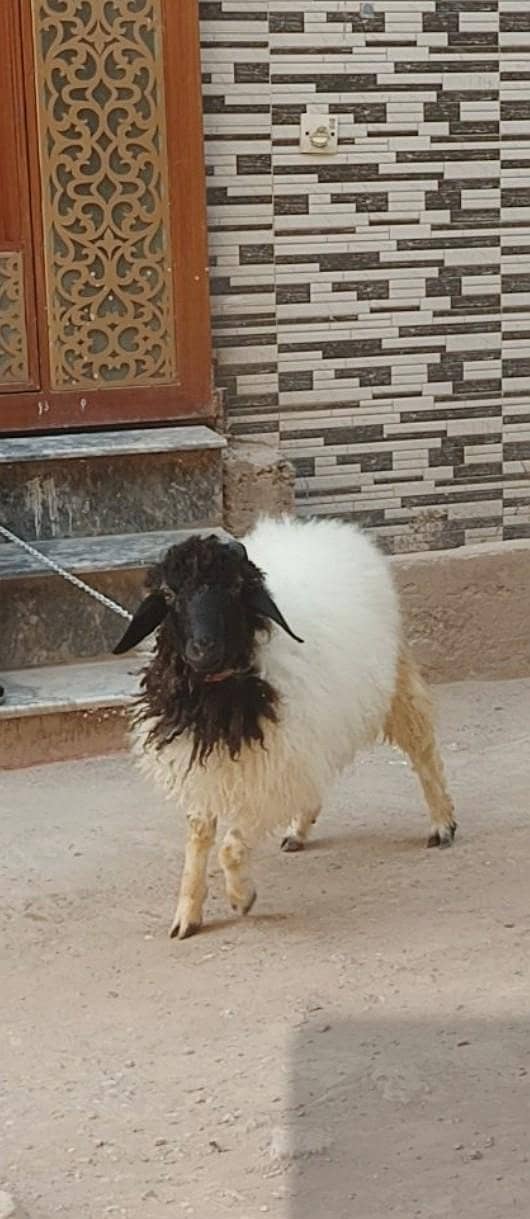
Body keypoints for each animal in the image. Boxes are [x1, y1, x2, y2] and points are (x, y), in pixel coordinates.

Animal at [113, 516, 456, 940]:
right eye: (169, 594)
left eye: (235, 588)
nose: (203, 649)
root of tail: (319, 527)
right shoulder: (209, 766)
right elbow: (199, 838)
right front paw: (187, 914)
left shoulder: (271, 772)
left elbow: (230, 846)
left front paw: (242, 898)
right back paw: (298, 831)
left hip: (395, 684)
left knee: (424, 752)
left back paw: (442, 823)